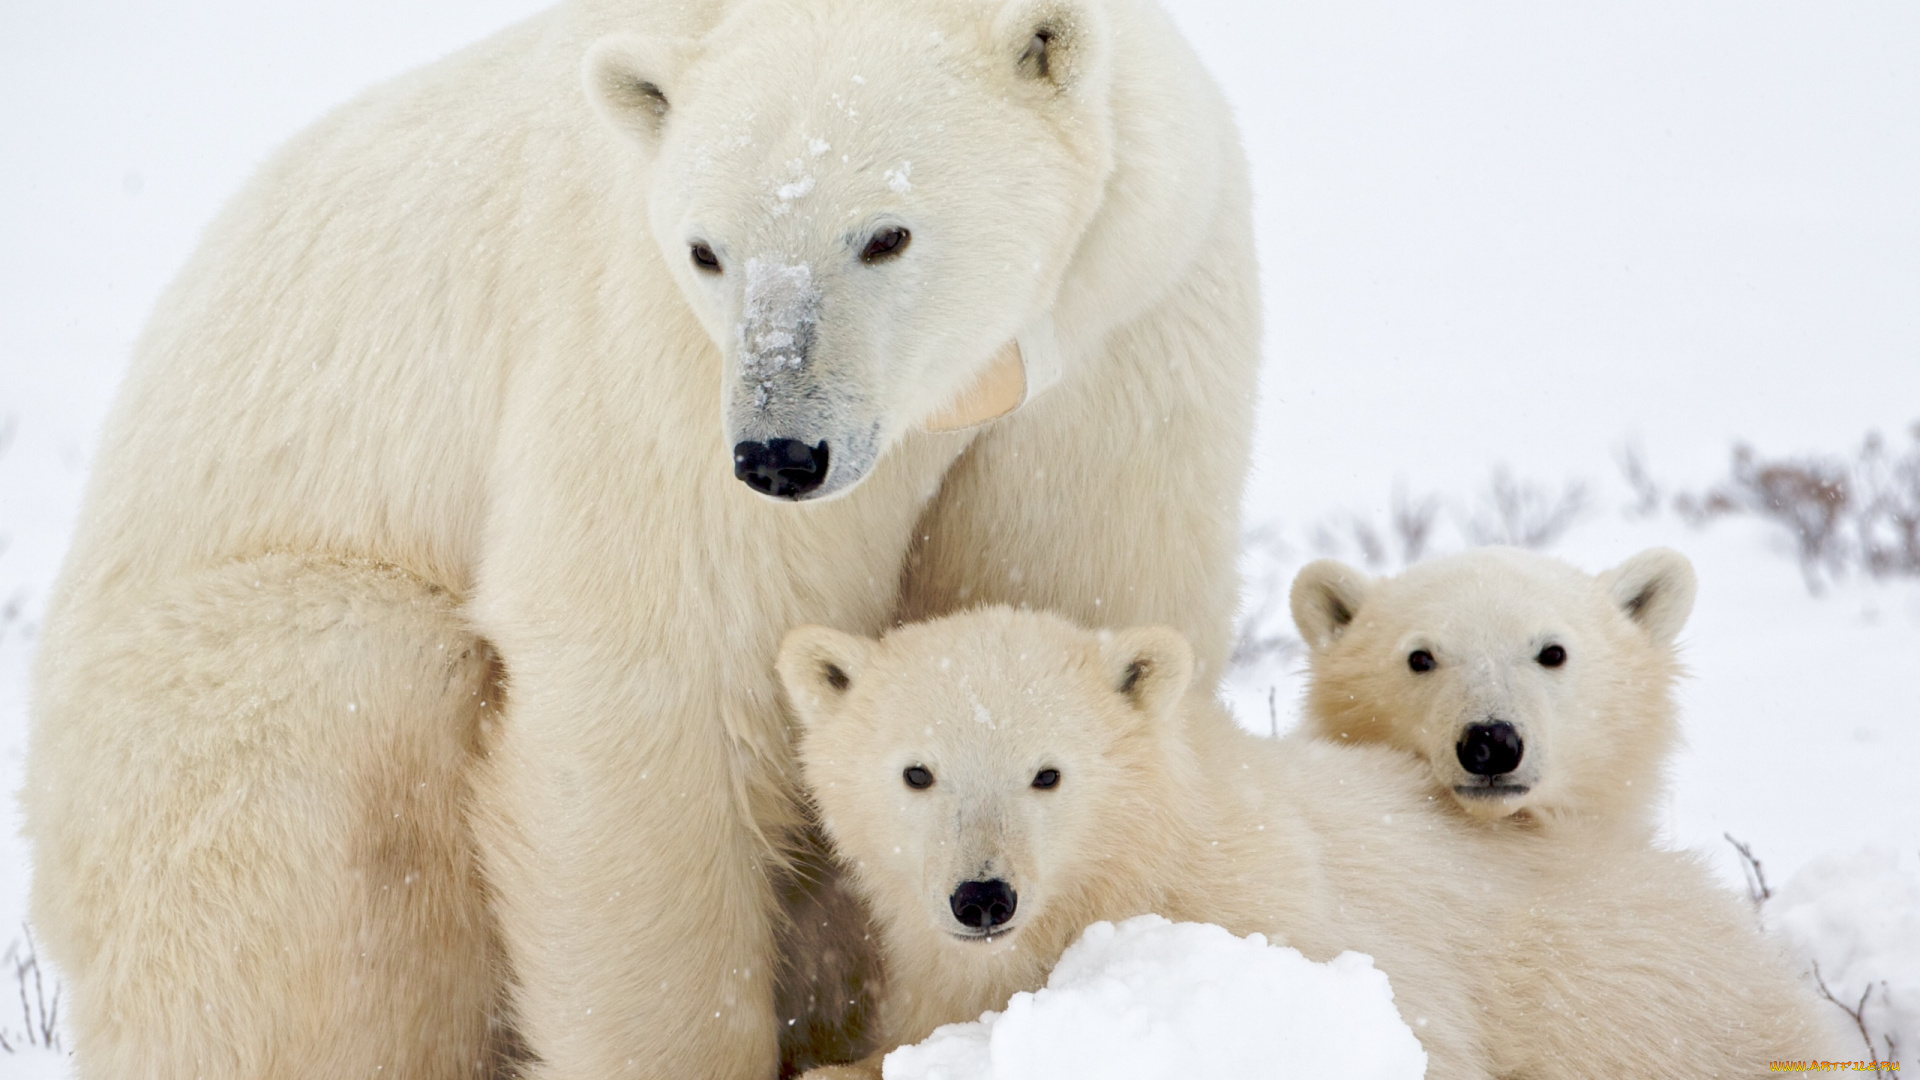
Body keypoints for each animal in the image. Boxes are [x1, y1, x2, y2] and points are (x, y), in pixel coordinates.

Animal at [22, 2, 1267, 1076]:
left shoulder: (1123, 323)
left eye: (886, 234)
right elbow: (658, 682)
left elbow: (1069, 594)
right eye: (708, 250)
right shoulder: (645, 348)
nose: (780, 452)